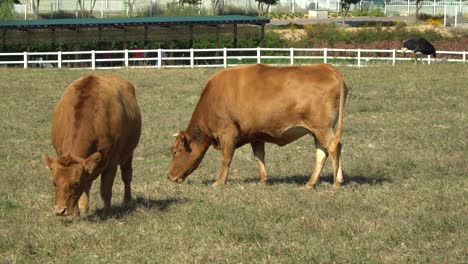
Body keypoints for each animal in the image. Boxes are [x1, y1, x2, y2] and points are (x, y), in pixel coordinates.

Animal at [41, 74, 141, 217]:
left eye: (75, 183)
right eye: (54, 182)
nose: (60, 210)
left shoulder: (111, 163)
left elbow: (105, 190)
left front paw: (107, 213)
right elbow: (86, 184)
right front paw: (77, 212)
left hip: (128, 153)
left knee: (127, 175)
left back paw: (127, 200)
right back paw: (84, 206)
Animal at [168, 63, 348, 189]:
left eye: (175, 152)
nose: (169, 177)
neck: (213, 99)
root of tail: (326, 68)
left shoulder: (228, 133)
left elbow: (226, 159)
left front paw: (219, 182)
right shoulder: (256, 135)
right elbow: (259, 156)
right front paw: (262, 180)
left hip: (322, 128)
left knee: (334, 147)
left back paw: (336, 182)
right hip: (316, 131)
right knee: (322, 153)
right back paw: (310, 183)